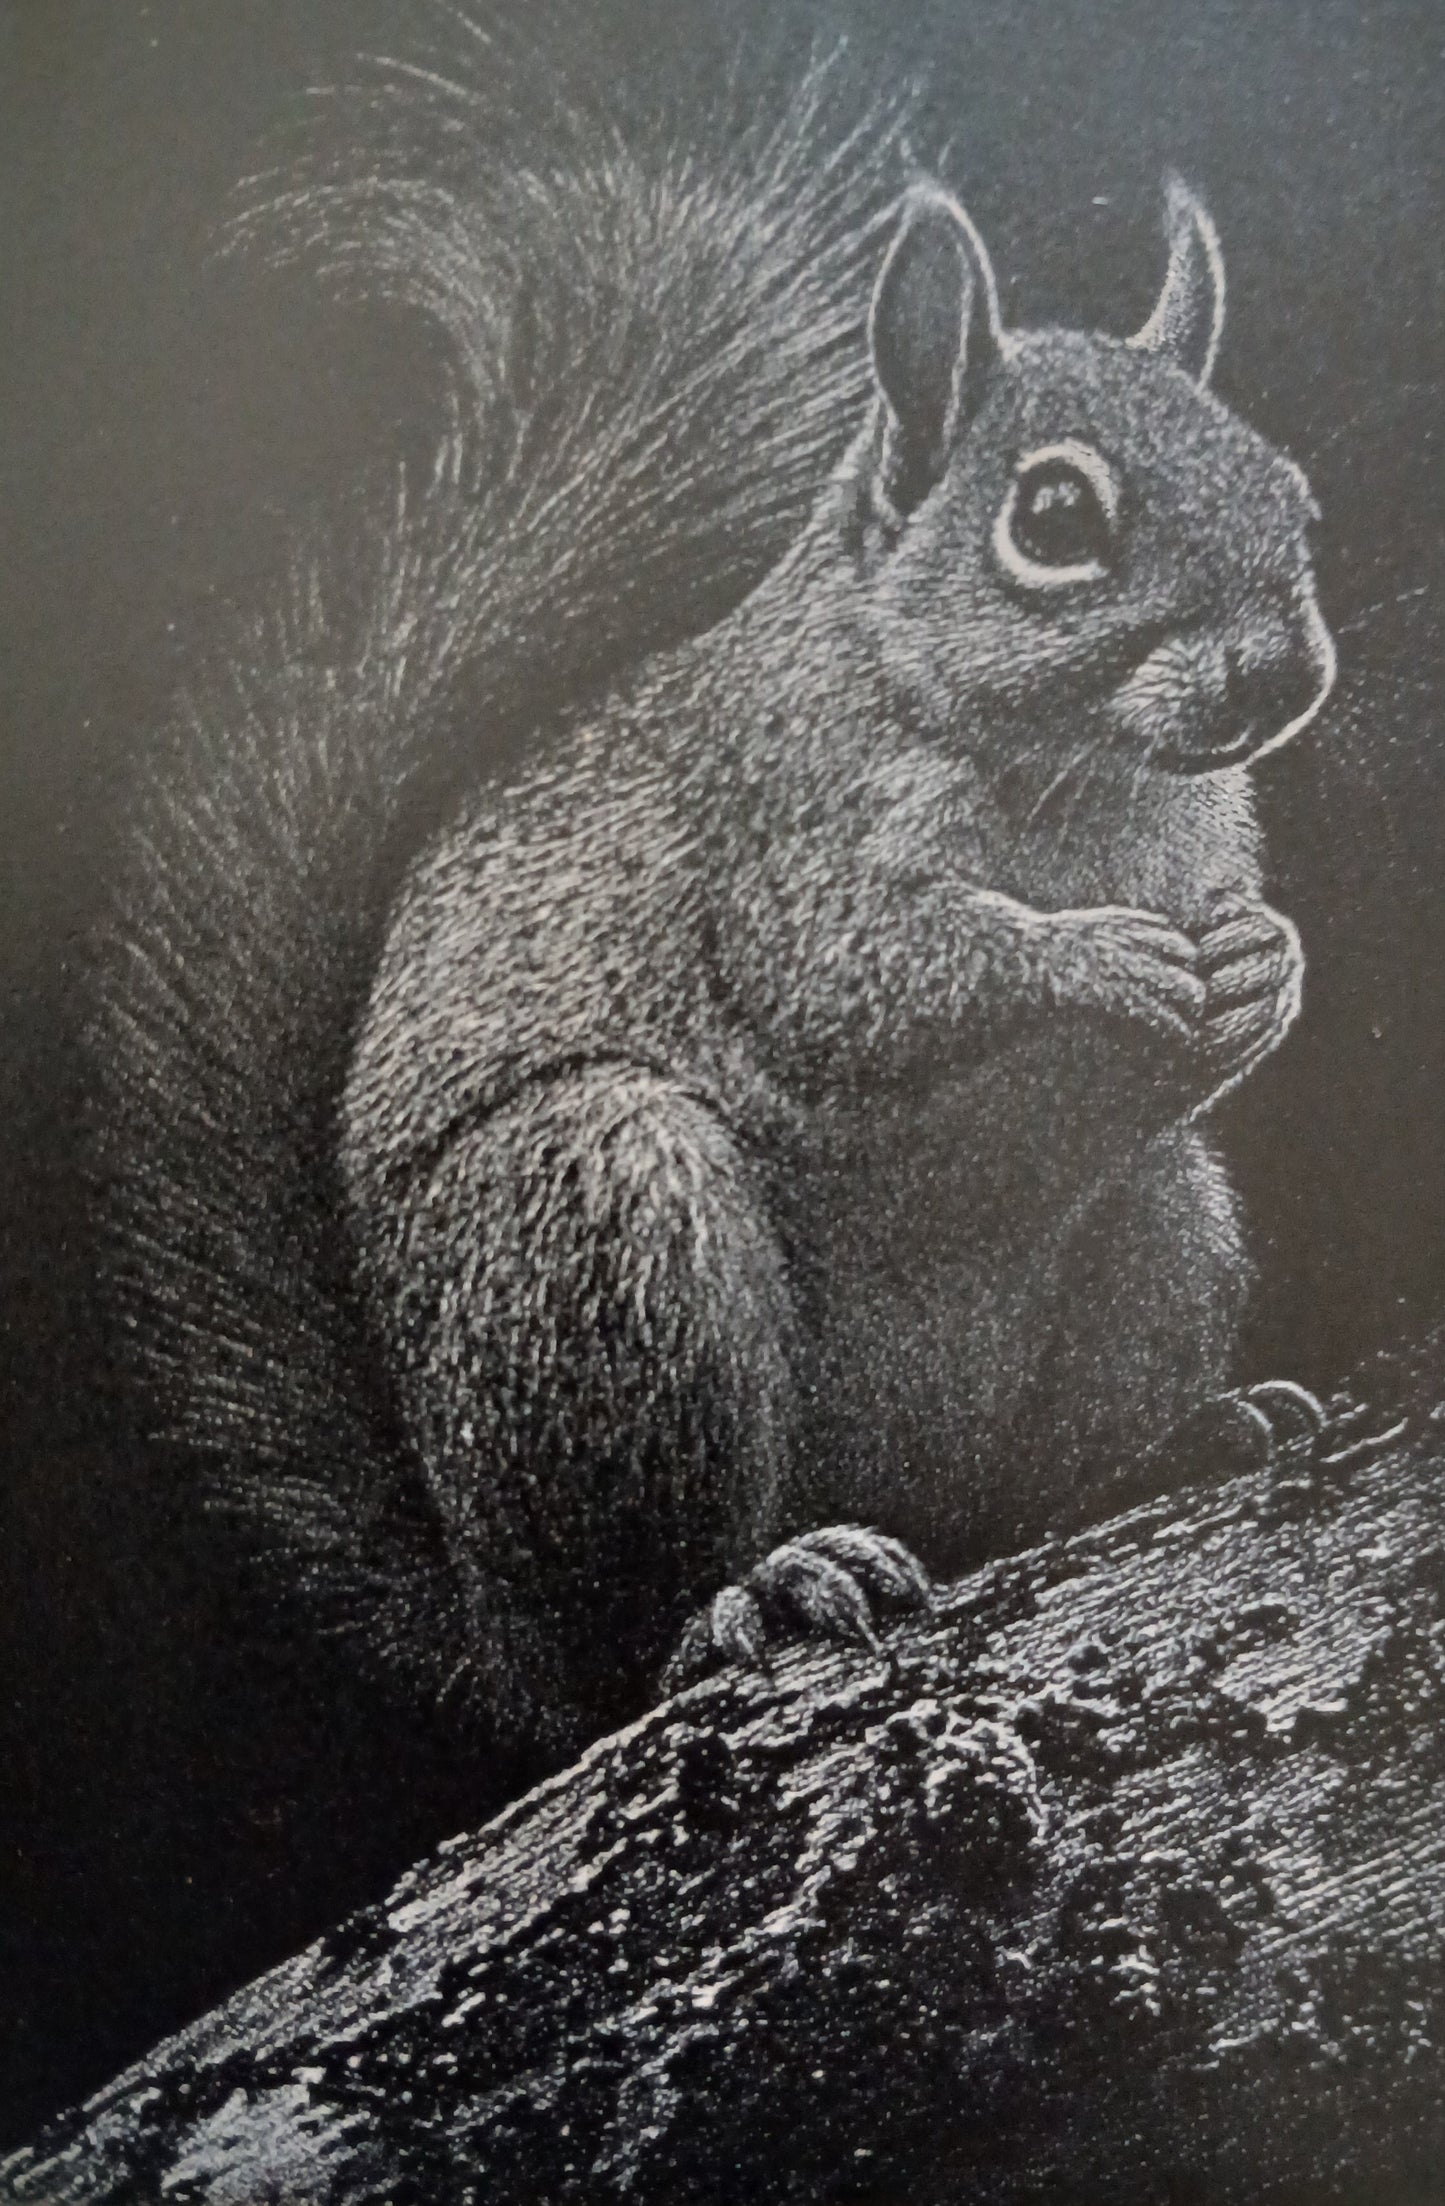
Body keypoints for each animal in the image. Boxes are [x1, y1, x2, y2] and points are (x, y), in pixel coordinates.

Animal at [90, 26, 1335, 1777]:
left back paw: (1170, 1444)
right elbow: (873, 975)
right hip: (600, 1242)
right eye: (1054, 518)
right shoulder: (778, 848)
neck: (1087, 778)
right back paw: (755, 1585)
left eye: (1290, 493)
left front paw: (1262, 964)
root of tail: (495, 1624)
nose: (1284, 673)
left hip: (1160, 1214)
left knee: (1027, 1490)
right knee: (635, 1628)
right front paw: (1105, 967)